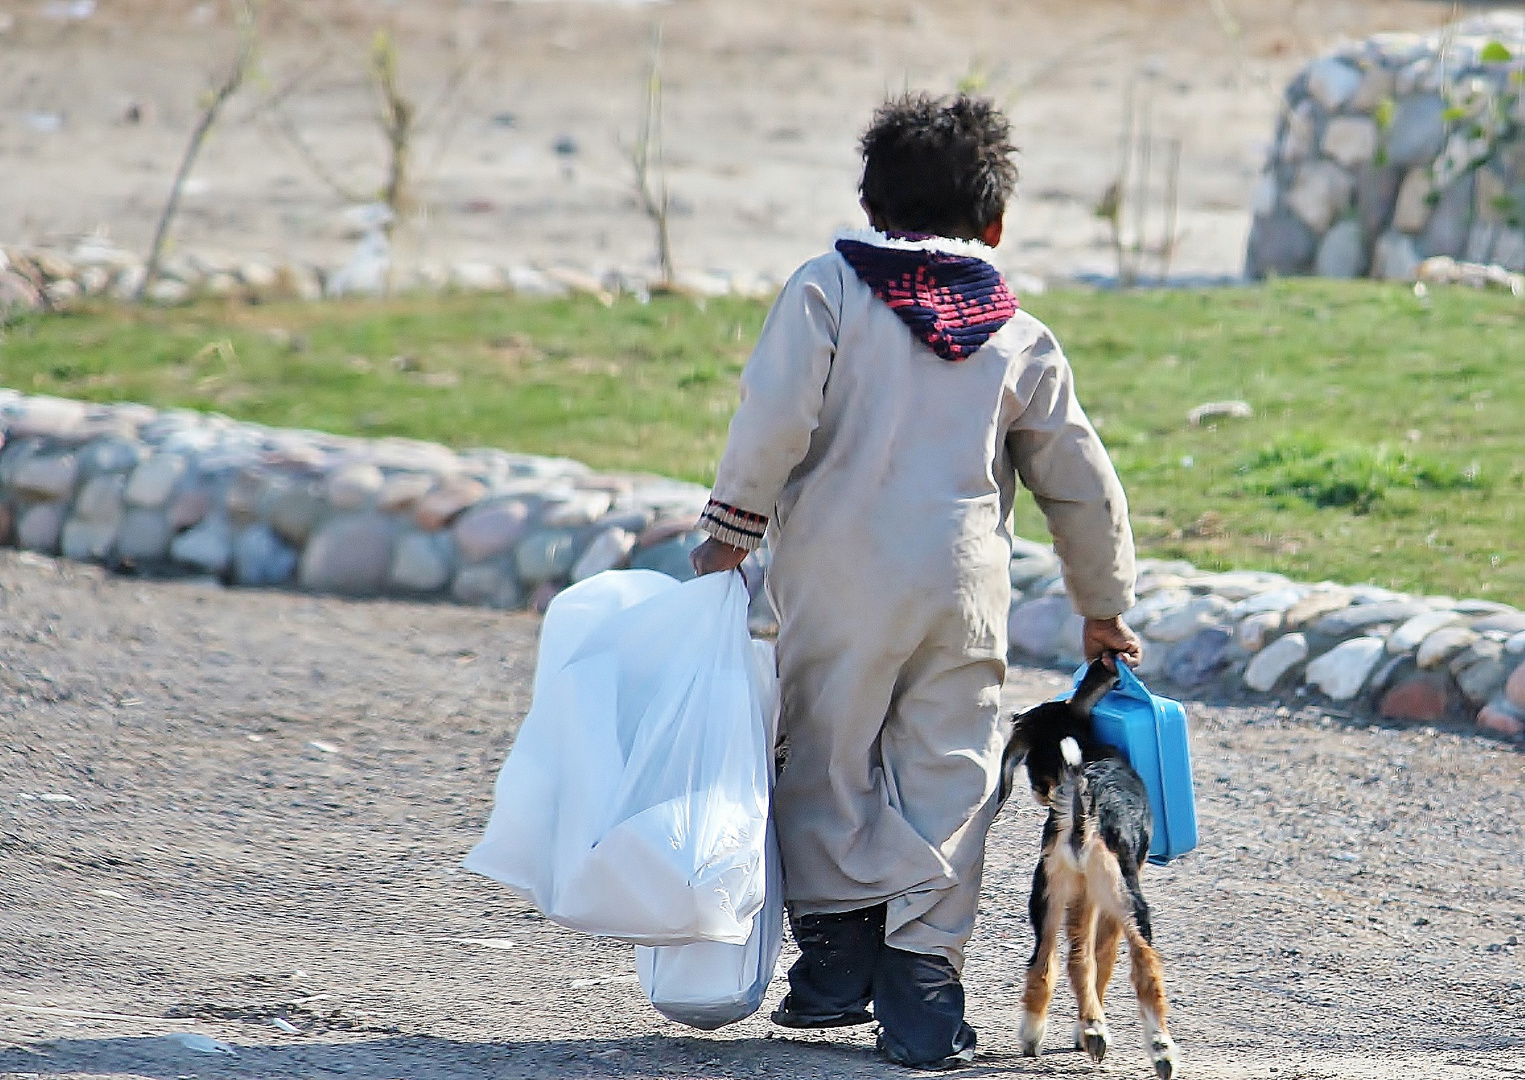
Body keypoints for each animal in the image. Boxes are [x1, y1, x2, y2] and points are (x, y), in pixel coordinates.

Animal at [1000, 658, 1177, 1080]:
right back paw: (1157, 1050)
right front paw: (1087, 1030)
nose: (1038, 791)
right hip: (1122, 894)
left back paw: (1040, 1034)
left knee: (1045, 960)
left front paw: (1084, 1027)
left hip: (1050, 887)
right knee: (1144, 967)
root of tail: (1084, 797)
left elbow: (1082, 959)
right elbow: (1105, 958)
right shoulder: (1106, 900)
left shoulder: (1080, 892)